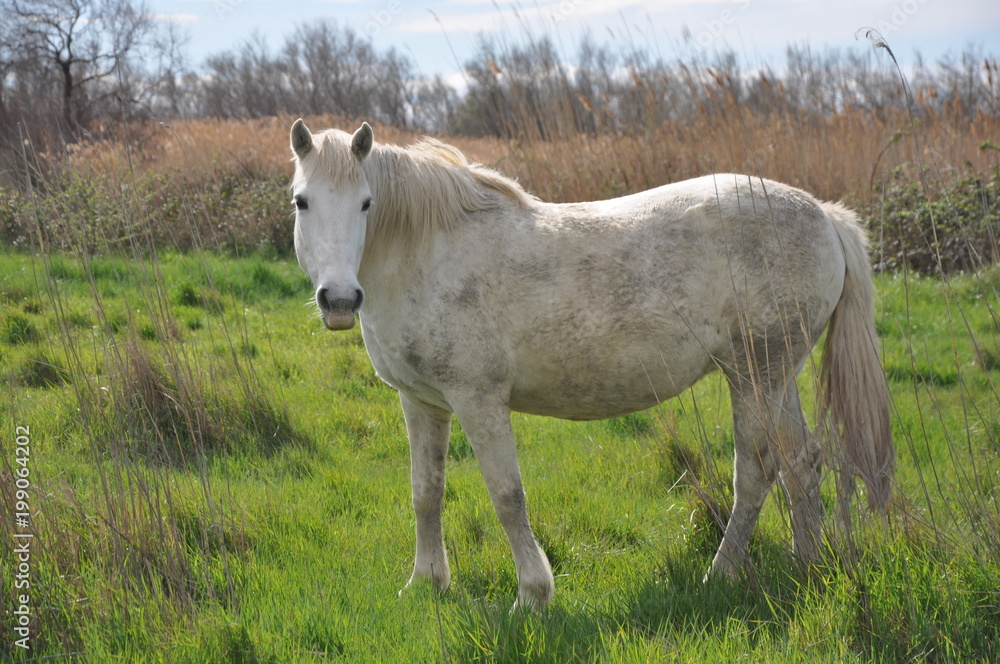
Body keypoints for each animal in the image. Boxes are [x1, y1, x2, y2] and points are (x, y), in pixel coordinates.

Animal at [288, 119, 894, 611]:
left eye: (366, 203)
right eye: (302, 202)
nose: (339, 300)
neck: (428, 251)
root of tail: (824, 215)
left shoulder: (478, 399)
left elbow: (507, 496)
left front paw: (532, 596)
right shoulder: (421, 401)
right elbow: (425, 492)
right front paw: (426, 583)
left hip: (753, 375)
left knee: (757, 470)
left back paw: (719, 575)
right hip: (778, 373)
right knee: (802, 461)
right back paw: (806, 566)